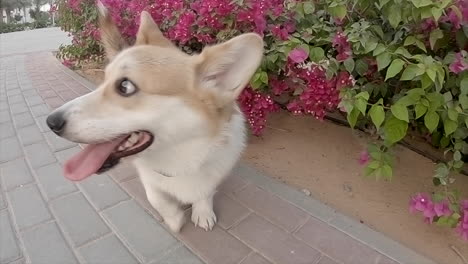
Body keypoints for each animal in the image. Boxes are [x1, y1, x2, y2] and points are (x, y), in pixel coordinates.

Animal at [46, 3, 266, 232]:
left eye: (125, 86)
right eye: (103, 80)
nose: (51, 122)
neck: (181, 159)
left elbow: (204, 193)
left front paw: (203, 213)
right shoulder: (150, 179)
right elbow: (157, 199)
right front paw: (175, 219)